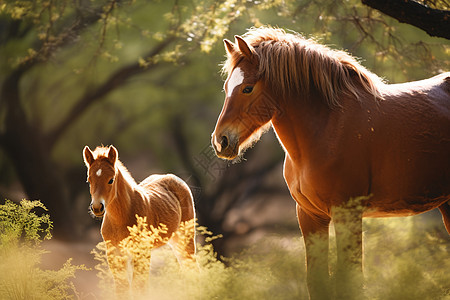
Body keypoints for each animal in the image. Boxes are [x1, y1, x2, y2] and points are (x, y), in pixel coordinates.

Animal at [83, 145, 196, 296]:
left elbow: (139, 287)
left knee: (193, 269)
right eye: (89, 180)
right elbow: (122, 288)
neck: (121, 218)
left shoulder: (142, 252)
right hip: (175, 241)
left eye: (111, 180)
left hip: (186, 239)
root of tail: (173, 177)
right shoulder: (114, 253)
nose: (97, 207)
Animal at [212, 27, 450, 298]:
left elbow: (351, 280)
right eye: (227, 86)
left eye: (248, 88)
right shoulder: (310, 216)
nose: (220, 141)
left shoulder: (347, 215)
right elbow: (317, 282)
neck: (328, 127)